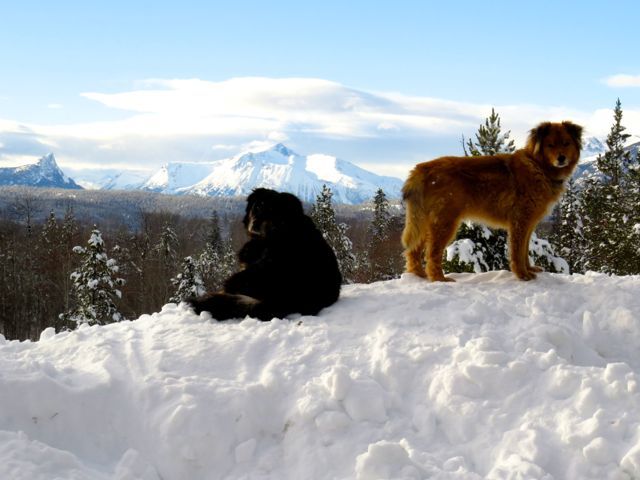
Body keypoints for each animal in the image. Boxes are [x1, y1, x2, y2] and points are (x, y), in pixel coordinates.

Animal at [402, 120, 584, 284]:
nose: (561, 158)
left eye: (566, 143)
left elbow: (525, 250)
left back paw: (419, 275)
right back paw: (439, 279)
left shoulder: (529, 223)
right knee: (432, 253)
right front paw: (523, 275)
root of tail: (422, 168)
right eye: (550, 145)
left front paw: (529, 269)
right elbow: (518, 251)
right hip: (445, 222)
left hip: (426, 221)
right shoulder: (520, 221)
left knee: (413, 251)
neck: (538, 166)